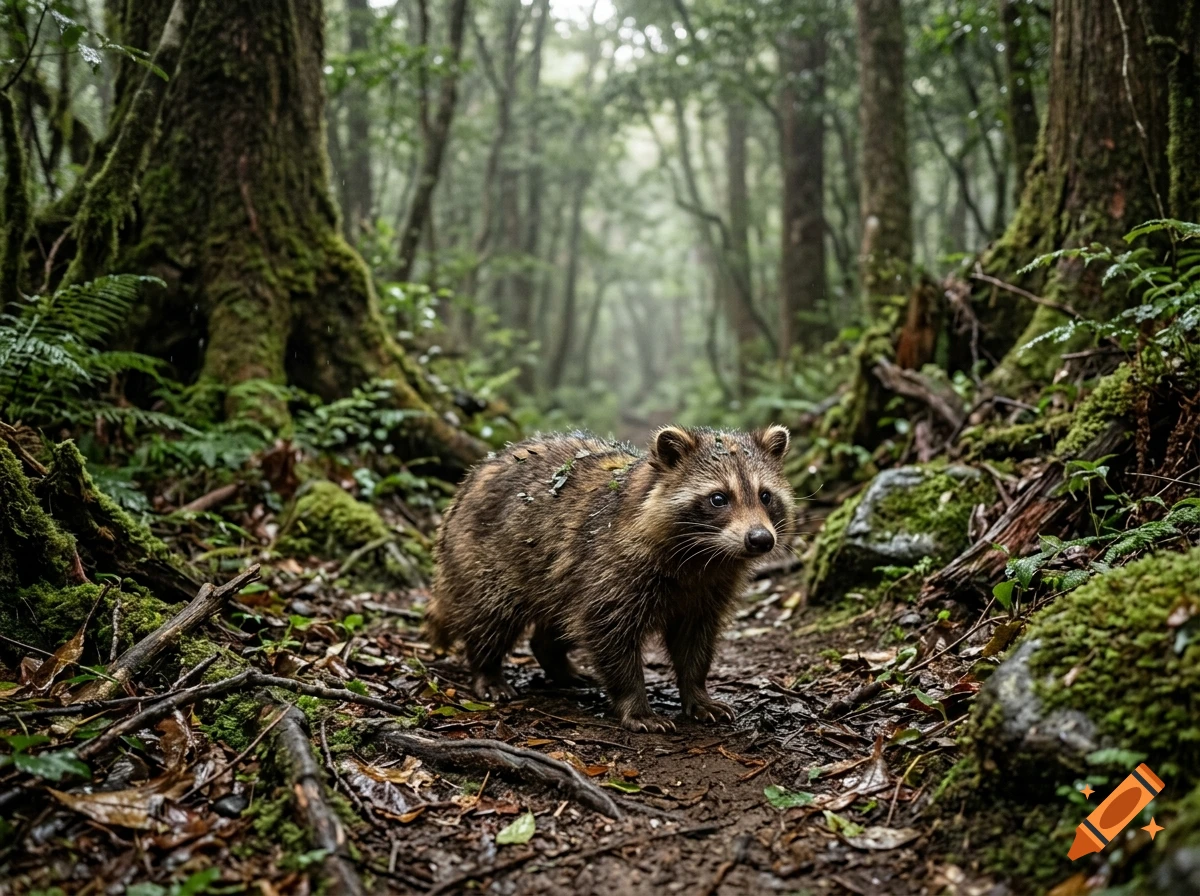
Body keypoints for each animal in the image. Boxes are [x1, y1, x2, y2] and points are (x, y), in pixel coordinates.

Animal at [426, 424, 795, 732]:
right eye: (719, 498)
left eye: (765, 496)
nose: (761, 539)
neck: (705, 556)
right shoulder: (612, 566)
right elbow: (607, 631)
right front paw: (635, 702)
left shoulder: (709, 590)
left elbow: (695, 640)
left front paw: (696, 691)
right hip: (486, 557)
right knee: (491, 615)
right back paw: (486, 667)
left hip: (556, 575)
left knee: (558, 621)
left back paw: (555, 661)